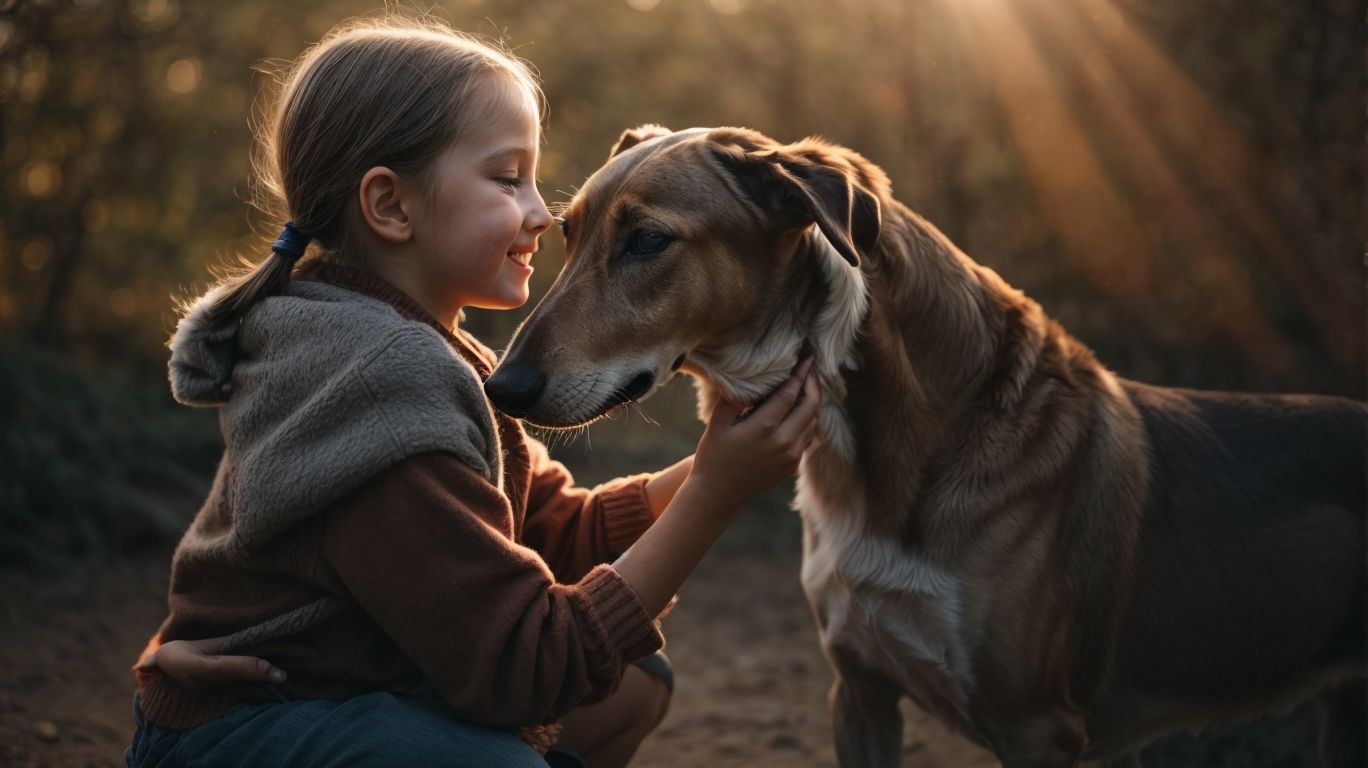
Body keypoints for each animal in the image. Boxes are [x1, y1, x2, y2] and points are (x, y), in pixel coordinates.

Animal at [487, 125, 1362, 766]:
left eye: (646, 242)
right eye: (566, 236)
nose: (502, 388)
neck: (874, 458)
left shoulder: (1040, 730)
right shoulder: (860, 692)